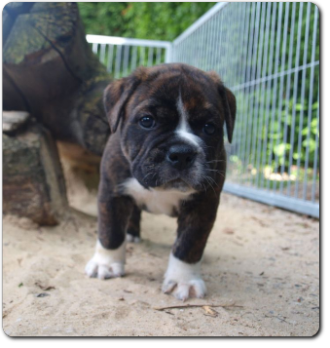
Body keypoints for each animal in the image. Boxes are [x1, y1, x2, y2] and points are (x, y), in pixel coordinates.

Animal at [84, 63, 235, 302]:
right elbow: (110, 231)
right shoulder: (113, 191)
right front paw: (106, 264)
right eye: (147, 121)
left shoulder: (203, 205)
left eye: (210, 127)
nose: (182, 153)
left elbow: (189, 244)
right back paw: (131, 234)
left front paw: (184, 280)